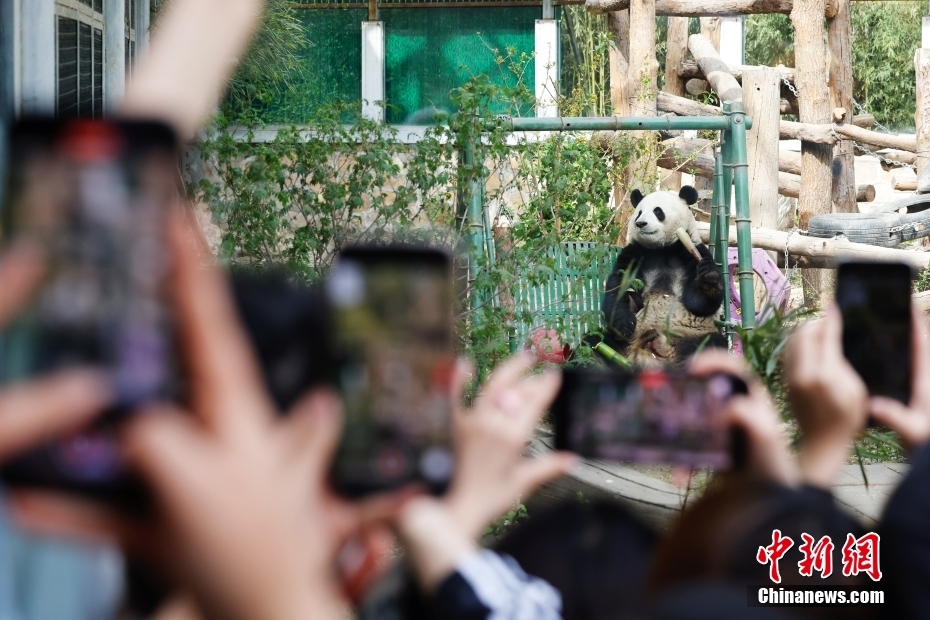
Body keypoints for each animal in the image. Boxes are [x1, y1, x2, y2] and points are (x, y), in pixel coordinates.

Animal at [600, 186, 728, 366]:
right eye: (639, 212)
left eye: (658, 211)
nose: (640, 223)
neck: (662, 248)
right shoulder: (635, 253)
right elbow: (620, 286)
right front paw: (624, 323)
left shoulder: (692, 250)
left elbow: (700, 303)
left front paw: (708, 278)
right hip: (619, 343)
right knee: (593, 346)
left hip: (693, 336)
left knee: (712, 347)